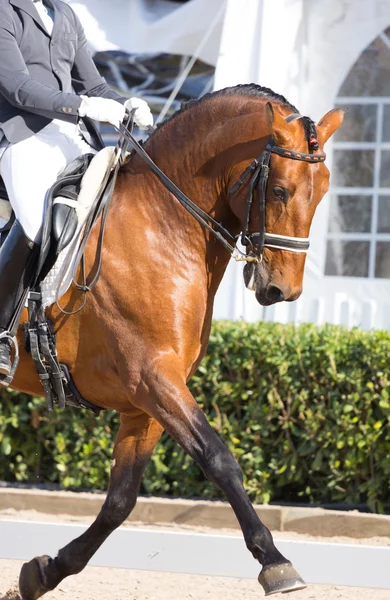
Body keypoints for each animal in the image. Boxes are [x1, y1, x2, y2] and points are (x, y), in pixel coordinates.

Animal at [9, 82, 344, 596]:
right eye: (279, 190)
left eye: (323, 190)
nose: (282, 291)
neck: (162, 224)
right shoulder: (154, 378)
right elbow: (219, 459)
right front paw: (275, 563)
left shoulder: (143, 401)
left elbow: (120, 501)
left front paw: (44, 572)